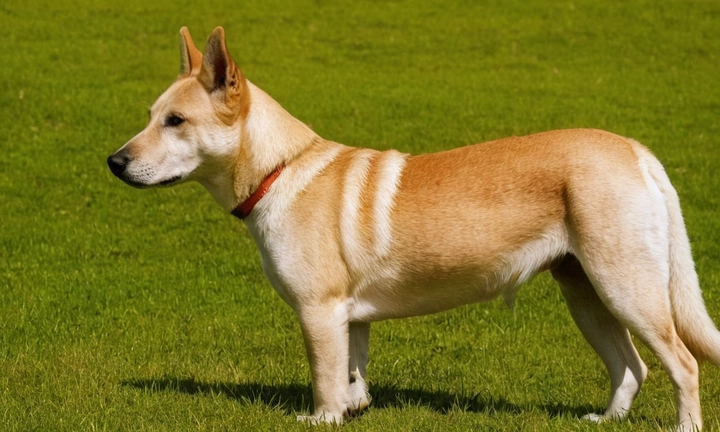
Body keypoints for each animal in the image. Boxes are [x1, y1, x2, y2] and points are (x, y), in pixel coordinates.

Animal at [107, 27, 720, 432]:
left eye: (176, 121)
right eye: (149, 115)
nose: (114, 161)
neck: (279, 170)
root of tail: (634, 149)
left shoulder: (318, 312)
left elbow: (325, 380)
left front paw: (322, 418)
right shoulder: (349, 317)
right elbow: (353, 375)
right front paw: (355, 407)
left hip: (626, 288)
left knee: (683, 364)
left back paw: (684, 425)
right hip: (588, 294)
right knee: (632, 366)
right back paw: (605, 418)